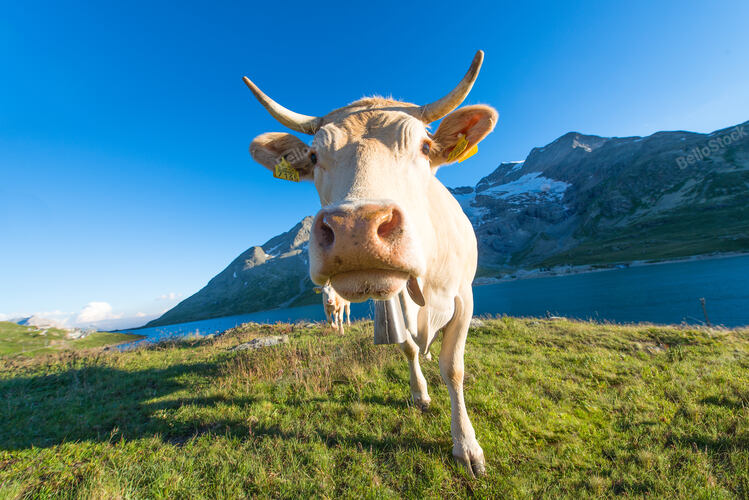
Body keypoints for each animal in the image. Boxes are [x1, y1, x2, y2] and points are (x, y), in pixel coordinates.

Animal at [244, 51, 497, 476]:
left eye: (425, 147)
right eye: (314, 156)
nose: (355, 229)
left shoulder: (464, 297)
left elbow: (453, 367)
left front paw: (468, 447)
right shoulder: (389, 301)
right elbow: (408, 349)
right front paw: (419, 394)